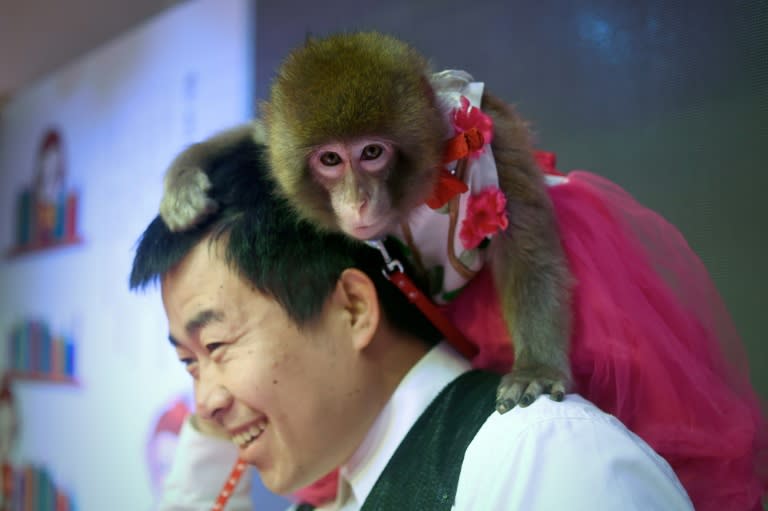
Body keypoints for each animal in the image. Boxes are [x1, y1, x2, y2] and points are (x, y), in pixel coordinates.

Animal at [160, 32, 568, 414]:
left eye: (372, 152)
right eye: (330, 159)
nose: (358, 202)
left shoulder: (494, 134)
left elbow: (527, 254)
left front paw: (537, 368)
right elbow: (259, 135)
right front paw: (185, 176)